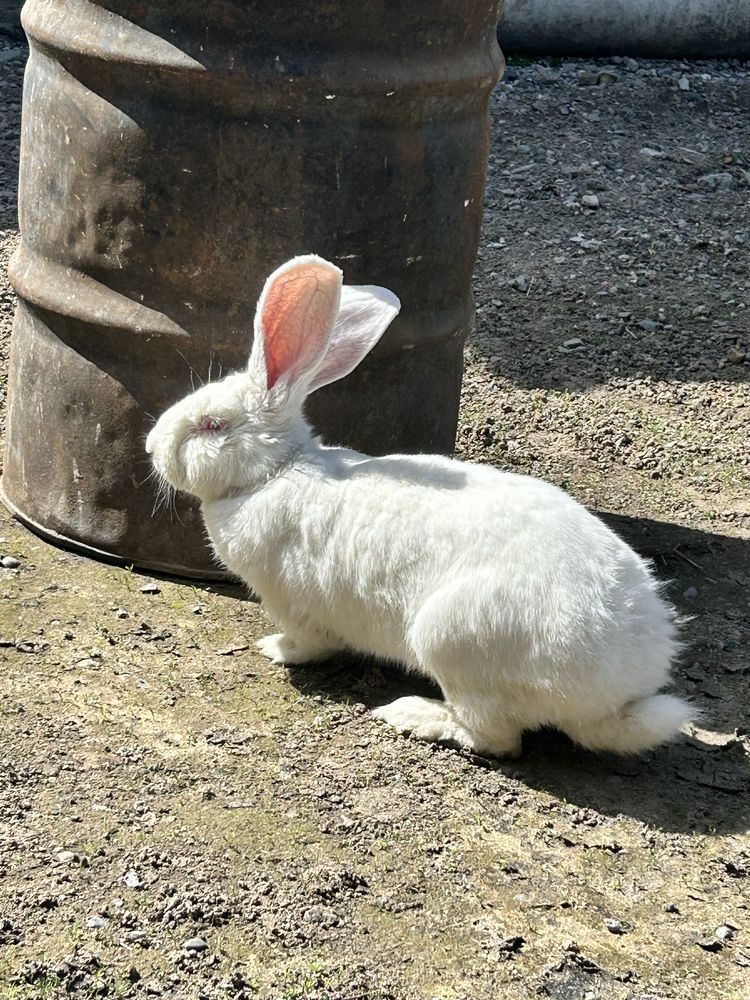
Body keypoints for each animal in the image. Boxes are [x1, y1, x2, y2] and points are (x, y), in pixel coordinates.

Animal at [145, 254, 692, 752]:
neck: (274, 472)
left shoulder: (294, 604)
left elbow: (312, 643)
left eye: (212, 424)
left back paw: (415, 714)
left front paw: (275, 649)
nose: (151, 446)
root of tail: (614, 699)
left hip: (453, 641)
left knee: (498, 738)